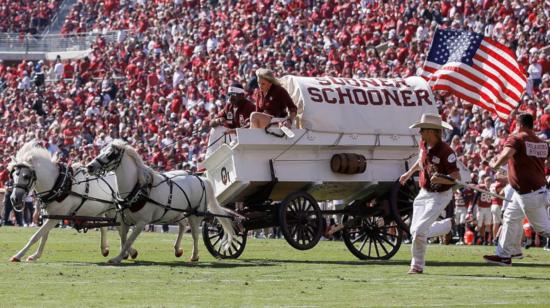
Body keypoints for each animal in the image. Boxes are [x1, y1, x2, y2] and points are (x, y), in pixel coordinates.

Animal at [7, 141, 138, 262]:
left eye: (26, 176)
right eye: (13, 175)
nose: (14, 199)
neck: (57, 184)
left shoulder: (56, 217)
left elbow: (36, 235)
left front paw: (18, 255)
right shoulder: (49, 215)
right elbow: (44, 236)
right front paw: (36, 255)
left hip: (114, 210)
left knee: (121, 229)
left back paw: (128, 251)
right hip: (104, 210)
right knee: (108, 228)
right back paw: (107, 249)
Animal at [85, 141, 235, 264]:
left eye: (110, 154)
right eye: (101, 150)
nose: (89, 167)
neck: (137, 188)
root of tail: (201, 179)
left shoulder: (142, 222)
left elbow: (129, 240)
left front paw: (118, 258)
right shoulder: (123, 220)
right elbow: (123, 238)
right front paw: (127, 254)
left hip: (195, 214)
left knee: (195, 234)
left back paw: (194, 256)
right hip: (175, 213)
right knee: (182, 225)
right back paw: (177, 249)